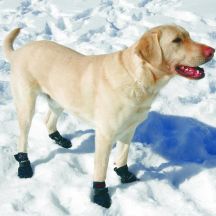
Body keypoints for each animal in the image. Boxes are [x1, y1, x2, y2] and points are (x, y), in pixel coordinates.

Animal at [2, 24, 214, 208]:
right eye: (177, 40)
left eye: (189, 36)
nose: (212, 51)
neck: (137, 78)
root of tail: (18, 52)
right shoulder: (104, 135)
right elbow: (101, 169)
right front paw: (100, 196)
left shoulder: (129, 130)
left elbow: (122, 156)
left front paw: (125, 176)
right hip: (26, 105)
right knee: (23, 138)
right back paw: (24, 165)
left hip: (59, 98)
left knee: (48, 120)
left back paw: (58, 138)